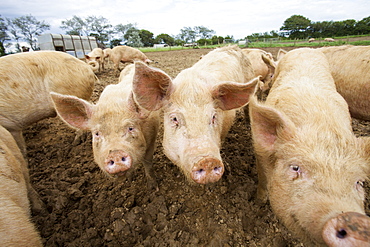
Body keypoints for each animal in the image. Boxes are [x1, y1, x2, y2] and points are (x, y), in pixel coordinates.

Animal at [50, 61, 171, 189]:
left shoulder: (152, 137)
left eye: (130, 128)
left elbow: (147, 162)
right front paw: (129, 180)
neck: (113, 104)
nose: (115, 154)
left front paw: (154, 188)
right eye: (97, 133)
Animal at [249, 47, 370, 245]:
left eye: (360, 182)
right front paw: (257, 202)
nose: (356, 222)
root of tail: (302, 48)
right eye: (295, 168)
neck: (322, 128)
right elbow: (262, 181)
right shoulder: (259, 151)